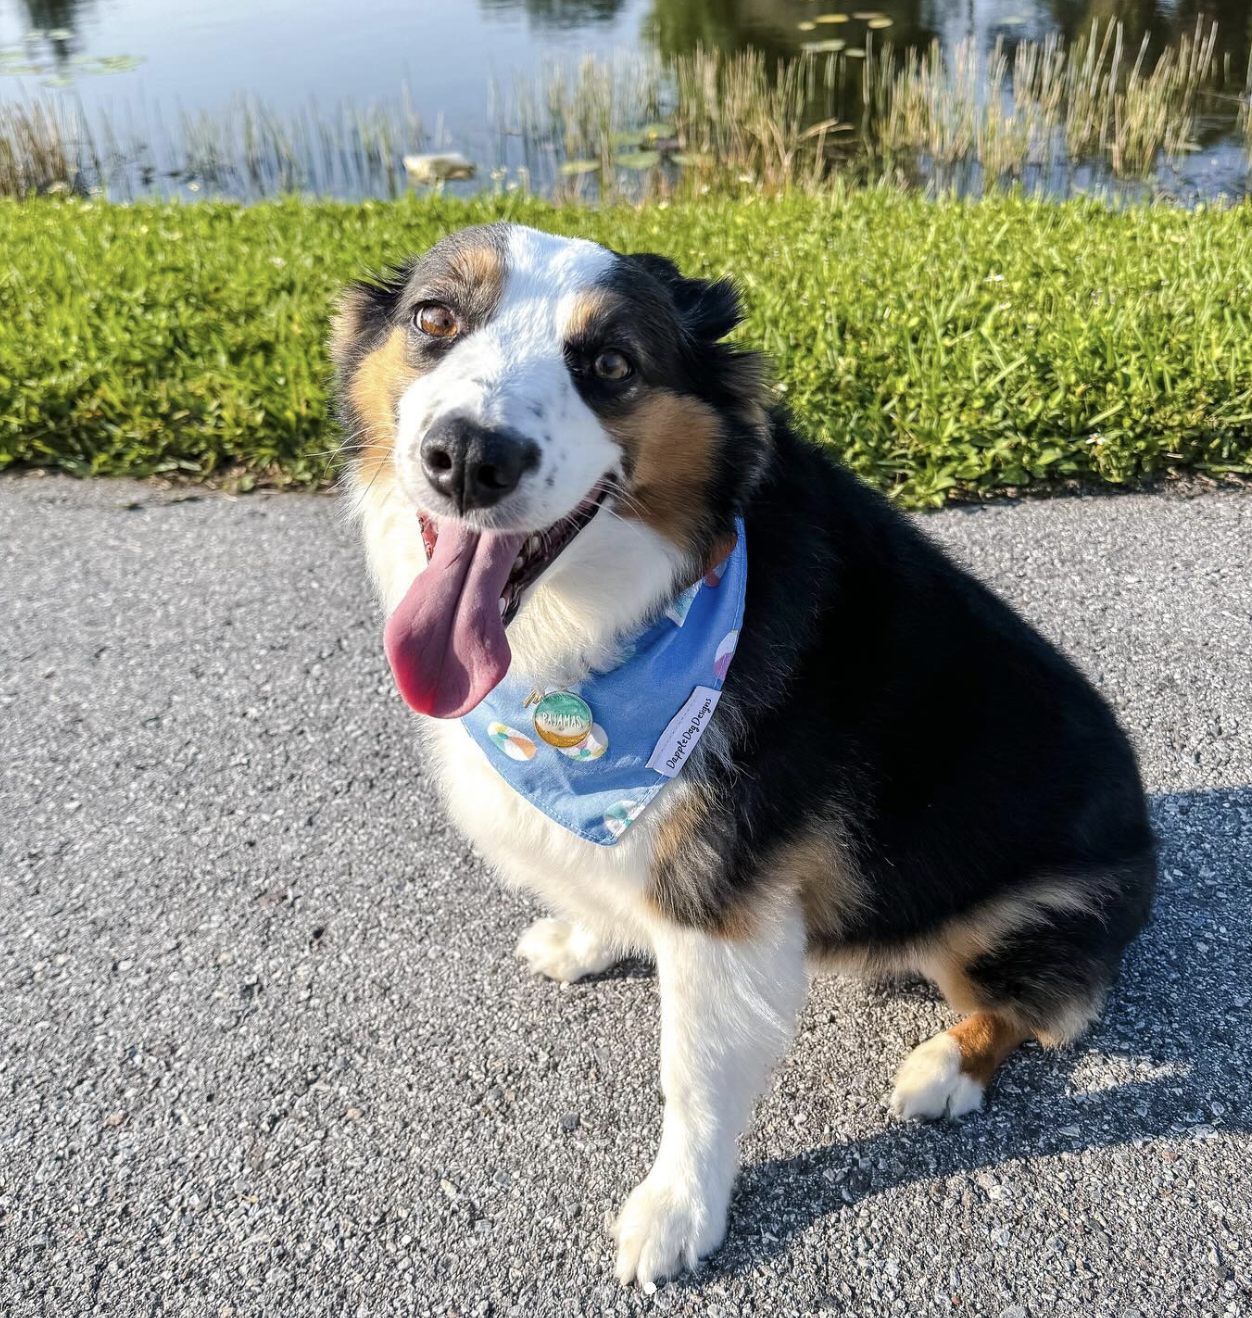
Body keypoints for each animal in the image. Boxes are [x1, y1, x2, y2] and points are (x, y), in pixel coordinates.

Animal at [328, 221, 1159, 1281]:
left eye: (611, 364)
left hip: (1020, 918)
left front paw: (679, 1212)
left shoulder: (723, 900)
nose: (469, 458)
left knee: (1044, 1006)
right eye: (434, 318)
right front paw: (589, 938)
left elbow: (696, 1075)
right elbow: (606, 889)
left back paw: (943, 1068)